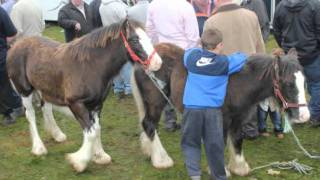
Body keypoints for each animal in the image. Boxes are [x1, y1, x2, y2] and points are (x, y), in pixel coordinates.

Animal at [6, 19, 162, 172]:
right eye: (134, 40)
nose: (157, 63)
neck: (90, 66)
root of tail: (16, 44)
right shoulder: (76, 104)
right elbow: (90, 132)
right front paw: (79, 162)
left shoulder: (97, 104)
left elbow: (96, 129)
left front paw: (100, 156)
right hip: (25, 91)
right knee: (31, 115)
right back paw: (38, 148)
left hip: (45, 89)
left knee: (47, 109)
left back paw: (57, 135)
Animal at [131, 43, 308, 176]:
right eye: (288, 83)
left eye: (304, 81)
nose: (304, 116)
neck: (240, 84)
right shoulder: (222, 120)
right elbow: (219, 143)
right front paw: (220, 169)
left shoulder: (238, 118)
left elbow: (237, 139)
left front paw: (239, 167)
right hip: (155, 102)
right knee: (149, 124)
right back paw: (161, 160)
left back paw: (150, 152)